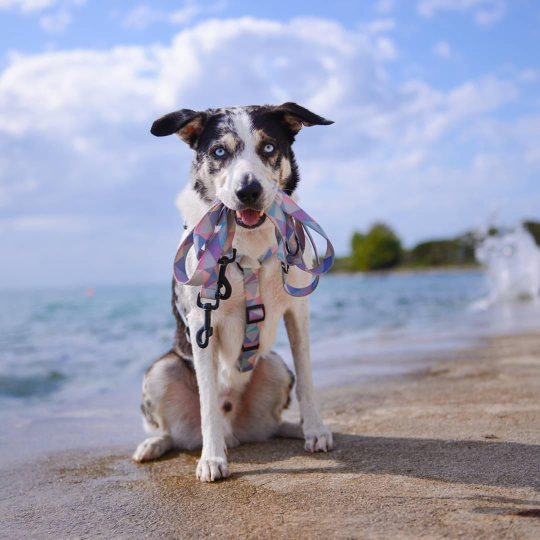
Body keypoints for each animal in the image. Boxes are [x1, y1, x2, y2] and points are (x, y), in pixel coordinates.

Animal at [132, 103, 334, 484]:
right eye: (219, 152)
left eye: (268, 147)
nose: (248, 192)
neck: (248, 247)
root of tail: (236, 433)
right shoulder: (202, 323)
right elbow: (208, 401)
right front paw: (211, 459)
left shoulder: (298, 311)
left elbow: (308, 380)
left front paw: (315, 430)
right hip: (161, 370)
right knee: (173, 430)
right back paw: (154, 444)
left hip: (274, 366)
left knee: (273, 421)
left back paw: (293, 428)